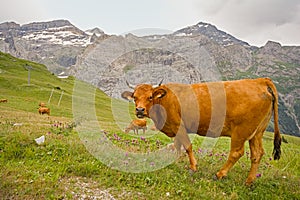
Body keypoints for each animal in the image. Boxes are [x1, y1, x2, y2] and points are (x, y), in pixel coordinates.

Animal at [122, 77, 282, 185]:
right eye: (135, 97)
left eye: (150, 97)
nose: (139, 110)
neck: (164, 100)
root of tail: (260, 81)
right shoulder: (175, 128)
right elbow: (177, 146)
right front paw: (174, 161)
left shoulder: (179, 126)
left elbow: (187, 146)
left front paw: (193, 167)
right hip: (257, 133)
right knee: (257, 154)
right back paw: (248, 181)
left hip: (241, 131)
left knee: (237, 153)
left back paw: (219, 174)